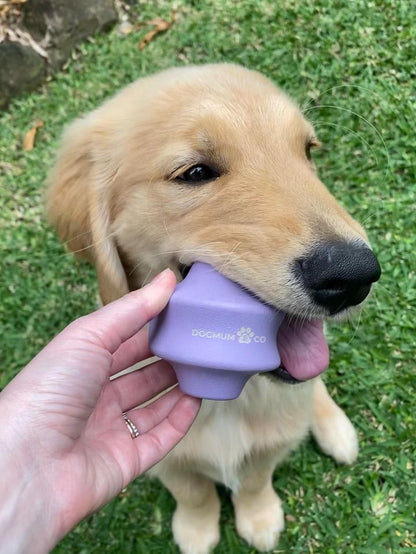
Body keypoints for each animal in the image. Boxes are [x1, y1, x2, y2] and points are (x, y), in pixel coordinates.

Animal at [45, 62, 380, 548]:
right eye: (195, 172)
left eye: (307, 152)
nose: (355, 277)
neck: (229, 396)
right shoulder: (162, 454)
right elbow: (194, 491)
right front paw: (197, 529)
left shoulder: (272, 439)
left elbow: (256, 478)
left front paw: (259, 518)